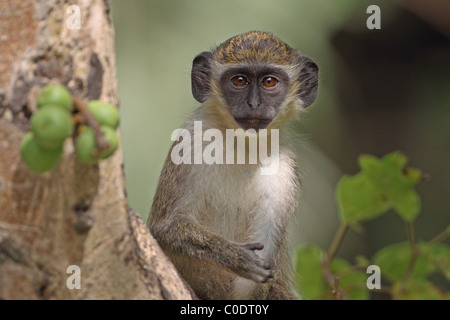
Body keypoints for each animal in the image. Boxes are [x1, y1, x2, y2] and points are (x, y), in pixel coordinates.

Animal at [148, 31, 316, 298]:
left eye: (270, 82)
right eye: (239, 81)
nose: (254, 104)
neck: (242, 145)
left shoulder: (285, 169)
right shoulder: (191, 141)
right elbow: (166, 226)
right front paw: (237, 257)